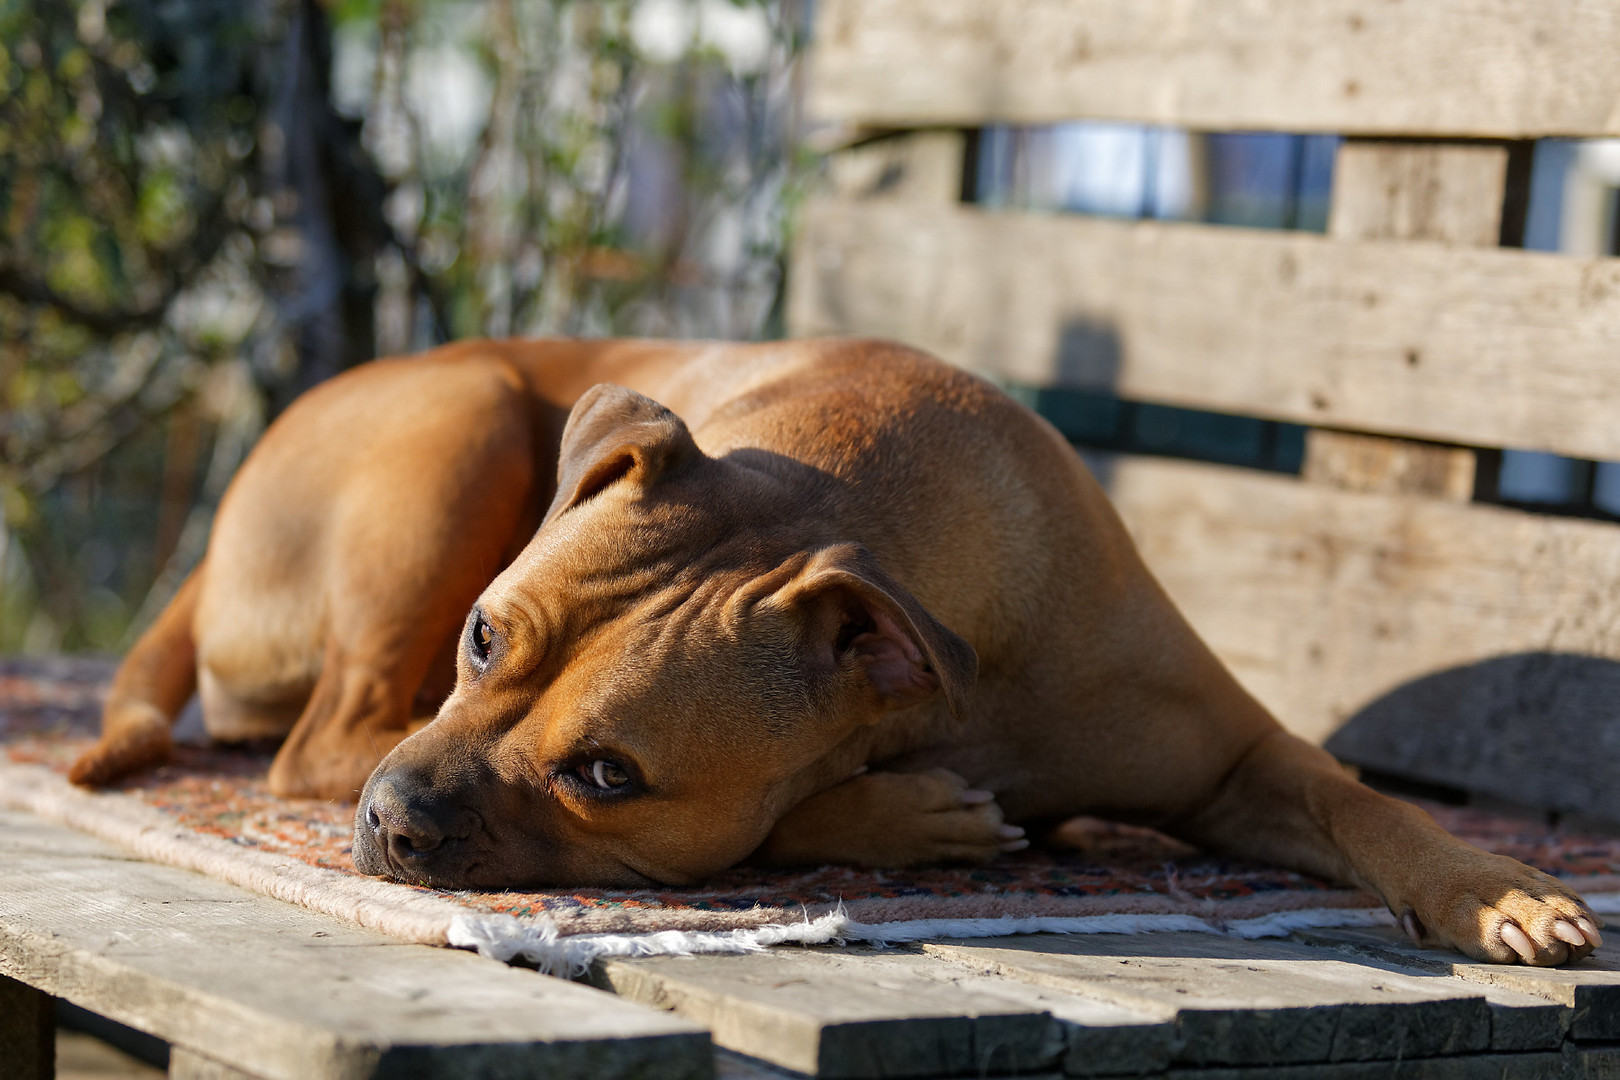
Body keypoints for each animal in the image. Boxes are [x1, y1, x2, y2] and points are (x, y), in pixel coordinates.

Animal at [69, 335, 1600, 965]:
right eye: (485, 636)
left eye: (609, 775)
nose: (396, 822)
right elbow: (774, 822)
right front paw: (906, 816)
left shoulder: (1238, 760)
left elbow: (1362, 802)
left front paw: (1496, 888)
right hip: (466, 416)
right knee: (319, 745)